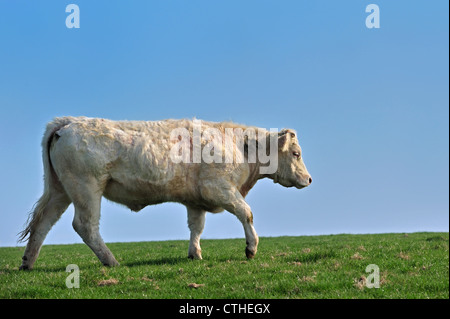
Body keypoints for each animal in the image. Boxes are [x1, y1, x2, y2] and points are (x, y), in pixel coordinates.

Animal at [18, 117, 312, 270]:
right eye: (296, 153)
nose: (309, 179)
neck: (240, 145)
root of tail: (69, 122)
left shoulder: (196, 200)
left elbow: (196, 227)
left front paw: (195, 254)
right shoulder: (219, 189)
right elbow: (246, 213)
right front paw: (251, 248)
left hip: (60, 191)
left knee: (43, 223)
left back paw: (27, 263)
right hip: (86, 188)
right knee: (85, 226)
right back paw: (112, 261)